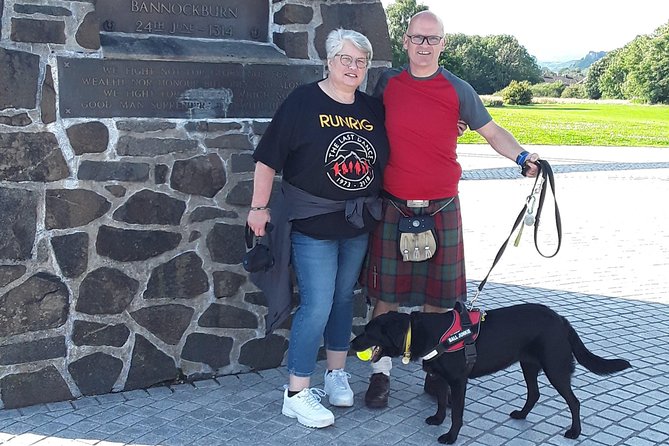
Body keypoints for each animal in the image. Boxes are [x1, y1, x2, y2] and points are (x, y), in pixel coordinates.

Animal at [352, 302, 628, 444]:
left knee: (574, 401)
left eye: (368, 331)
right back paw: (521, 414)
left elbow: (457, 414)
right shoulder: (440, 377)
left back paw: (574, 432)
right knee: (535, 394)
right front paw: (438, 419)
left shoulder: (458, 381)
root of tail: (561, 319)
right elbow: (441, 402)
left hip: (555, 367)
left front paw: (450, 436)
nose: (352, 342)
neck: (425, 333)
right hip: (529, 364)